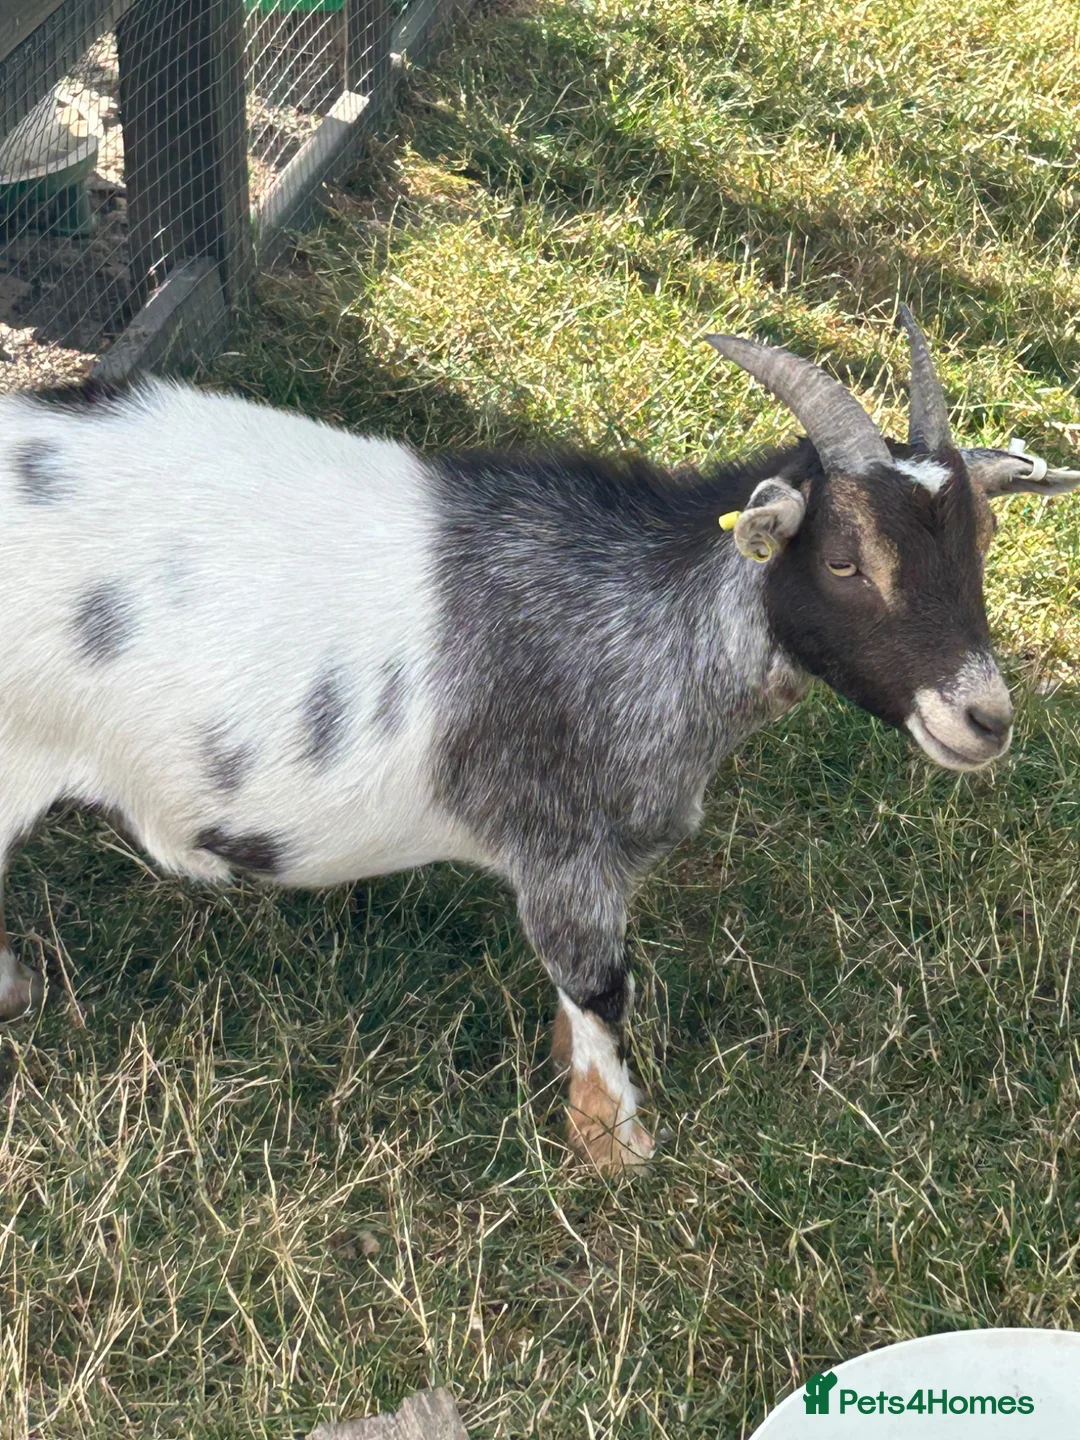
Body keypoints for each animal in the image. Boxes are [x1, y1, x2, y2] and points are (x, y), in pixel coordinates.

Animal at [0, 307, 1076, 1171]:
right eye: (847, 560)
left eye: (980, 542)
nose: (983, 719)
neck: (638, 617)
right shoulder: (563, 850)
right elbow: (600, 988)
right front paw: (615, 1142)